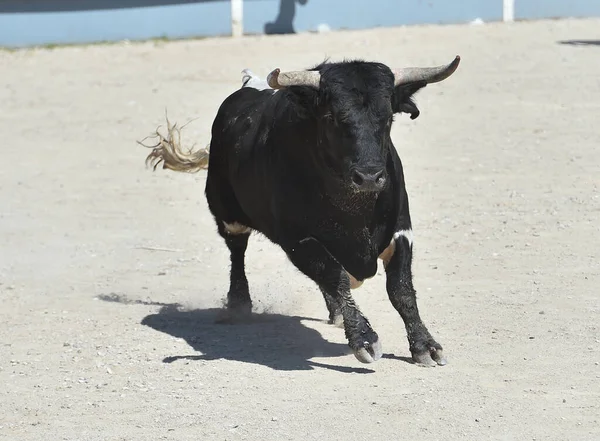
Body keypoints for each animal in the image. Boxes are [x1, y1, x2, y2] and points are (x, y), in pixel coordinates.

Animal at [143, 55, 462, 364]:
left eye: (387, 118)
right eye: (331, 117)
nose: (370, 176)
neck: (353, 211)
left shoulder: (401, 231)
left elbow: (401, 289)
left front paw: (425, 345)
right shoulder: (297, 240)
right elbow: (336, 277)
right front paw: (364, 338)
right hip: (225, 209)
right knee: (237, 250)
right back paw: (239, 305)